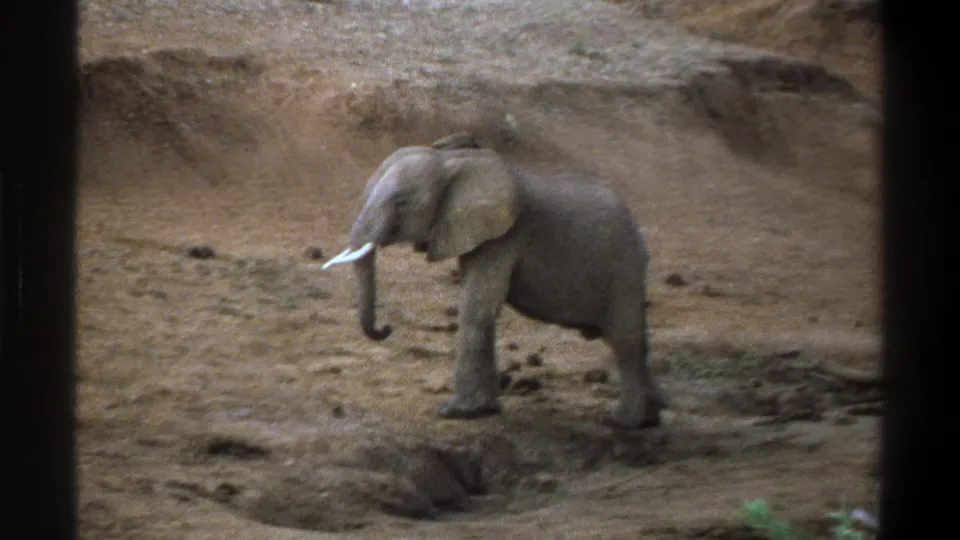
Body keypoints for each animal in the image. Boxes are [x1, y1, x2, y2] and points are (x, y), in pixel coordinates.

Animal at [322, 136, 666, 429]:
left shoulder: (505, 237)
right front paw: (483, 411)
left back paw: (623, 423)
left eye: (401, 202)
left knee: (625, 339)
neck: (452, 161)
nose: (386, 329)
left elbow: (476, 309)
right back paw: (651, 417)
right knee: (634, 340)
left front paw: (456, 413)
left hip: (623, 269)